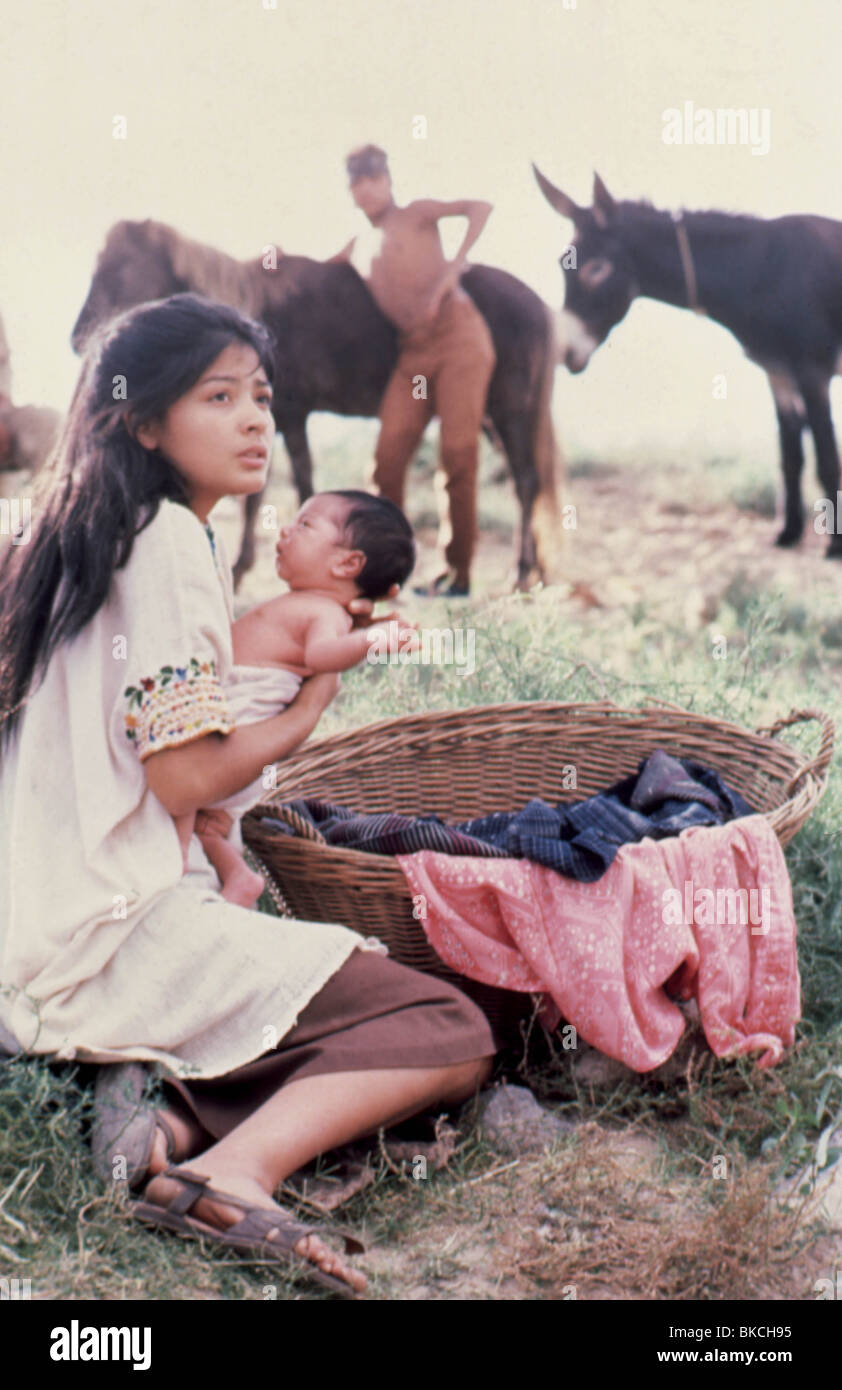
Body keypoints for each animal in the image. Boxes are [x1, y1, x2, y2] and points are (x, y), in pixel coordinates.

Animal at [69, 221, 564, 586]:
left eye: (123, 267)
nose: (78, 337)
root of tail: (536, 304)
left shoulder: (280, 414)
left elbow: (272, 492)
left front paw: (249, 566)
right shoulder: (285, 418)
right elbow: (291, 483)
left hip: (509, 411)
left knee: (525, 482)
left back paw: (519, 573)